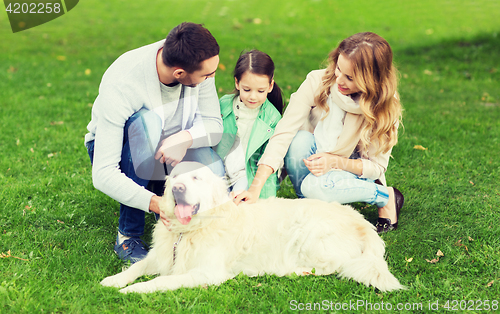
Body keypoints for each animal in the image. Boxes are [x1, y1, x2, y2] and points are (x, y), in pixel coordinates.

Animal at [99, 163, 404, 294]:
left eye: (196, 178)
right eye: (174, 178)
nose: (178, 188)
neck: (190, 230)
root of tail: (362, 223)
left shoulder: (206, 272)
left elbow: (162, 281)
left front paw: (134, 290)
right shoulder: (161, 256)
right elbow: (137, 266)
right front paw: (114, 280)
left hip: (310, 235)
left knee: (335, 266)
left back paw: (294, 271)